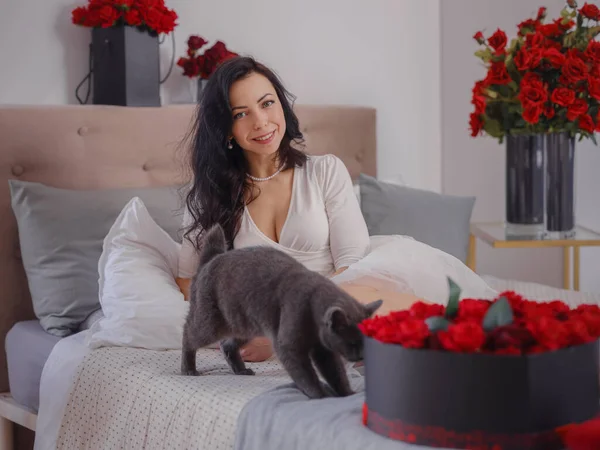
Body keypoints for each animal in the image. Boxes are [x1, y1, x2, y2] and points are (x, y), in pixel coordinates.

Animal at [180, 223, 382, 400]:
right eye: (353, 343)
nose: (362, 356)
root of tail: (211, 259)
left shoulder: (323, 349)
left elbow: (335, 373)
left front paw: (346, 393)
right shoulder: (289, 345)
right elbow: (306, 375)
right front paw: (320, 396)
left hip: (244, 324)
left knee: (227, 344)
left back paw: (241, 370)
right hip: (210, 322)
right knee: (189, 334)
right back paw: (188, 369)